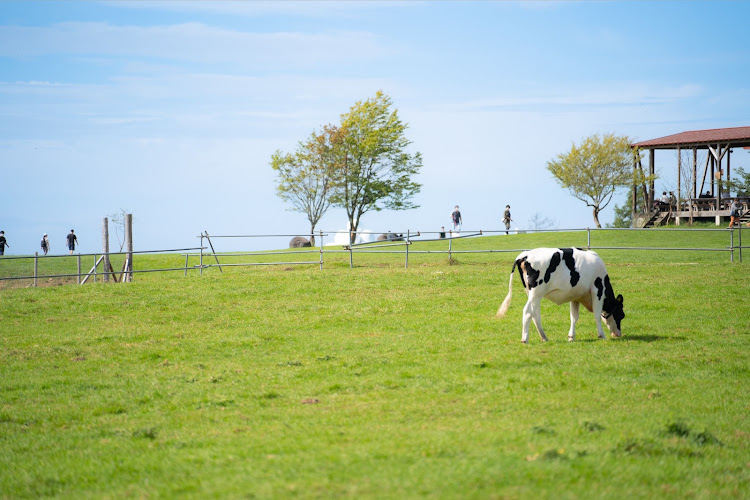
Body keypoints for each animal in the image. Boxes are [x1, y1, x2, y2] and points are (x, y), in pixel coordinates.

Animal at [496, 247, 624, 342]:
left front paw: (571, 336)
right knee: (528, 311)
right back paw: (525, 339)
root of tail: (525, 255)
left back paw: (544, 337)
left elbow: (574, 317)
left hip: (533, 293)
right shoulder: (598, 289)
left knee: (535, 314)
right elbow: (597, 315)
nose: (618, 334)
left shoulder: (575, 296)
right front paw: (601, 335)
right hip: (536, 292)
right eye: (621, 315)